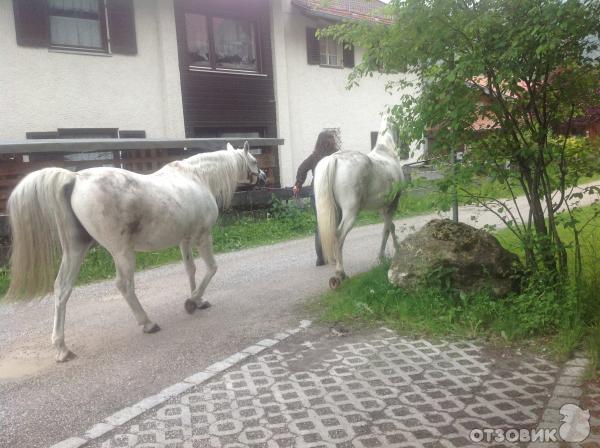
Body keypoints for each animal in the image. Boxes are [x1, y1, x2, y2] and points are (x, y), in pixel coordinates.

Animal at [7, 142, 264, 362]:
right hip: (122, 253)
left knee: (62, 289)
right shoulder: (202, 236)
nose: (263, 176)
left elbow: (190, 269)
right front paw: (192, 301)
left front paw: (198, 300)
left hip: (75, 250)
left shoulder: (184, 240)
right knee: (124, 285)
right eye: (253, 160)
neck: (197, 178)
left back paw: (61, 348)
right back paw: (147, 323)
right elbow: (211, 268)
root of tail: (75, 178)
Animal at [314, 115, 422, 288]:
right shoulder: (393, 204)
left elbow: (391, 226)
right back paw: (340, 274)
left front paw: (396, 251)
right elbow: (386, 229)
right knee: (339, 235)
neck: (386, 152)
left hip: (335, 211)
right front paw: (382, 257)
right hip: (350, 212)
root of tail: (334, 159)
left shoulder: (383, 207)